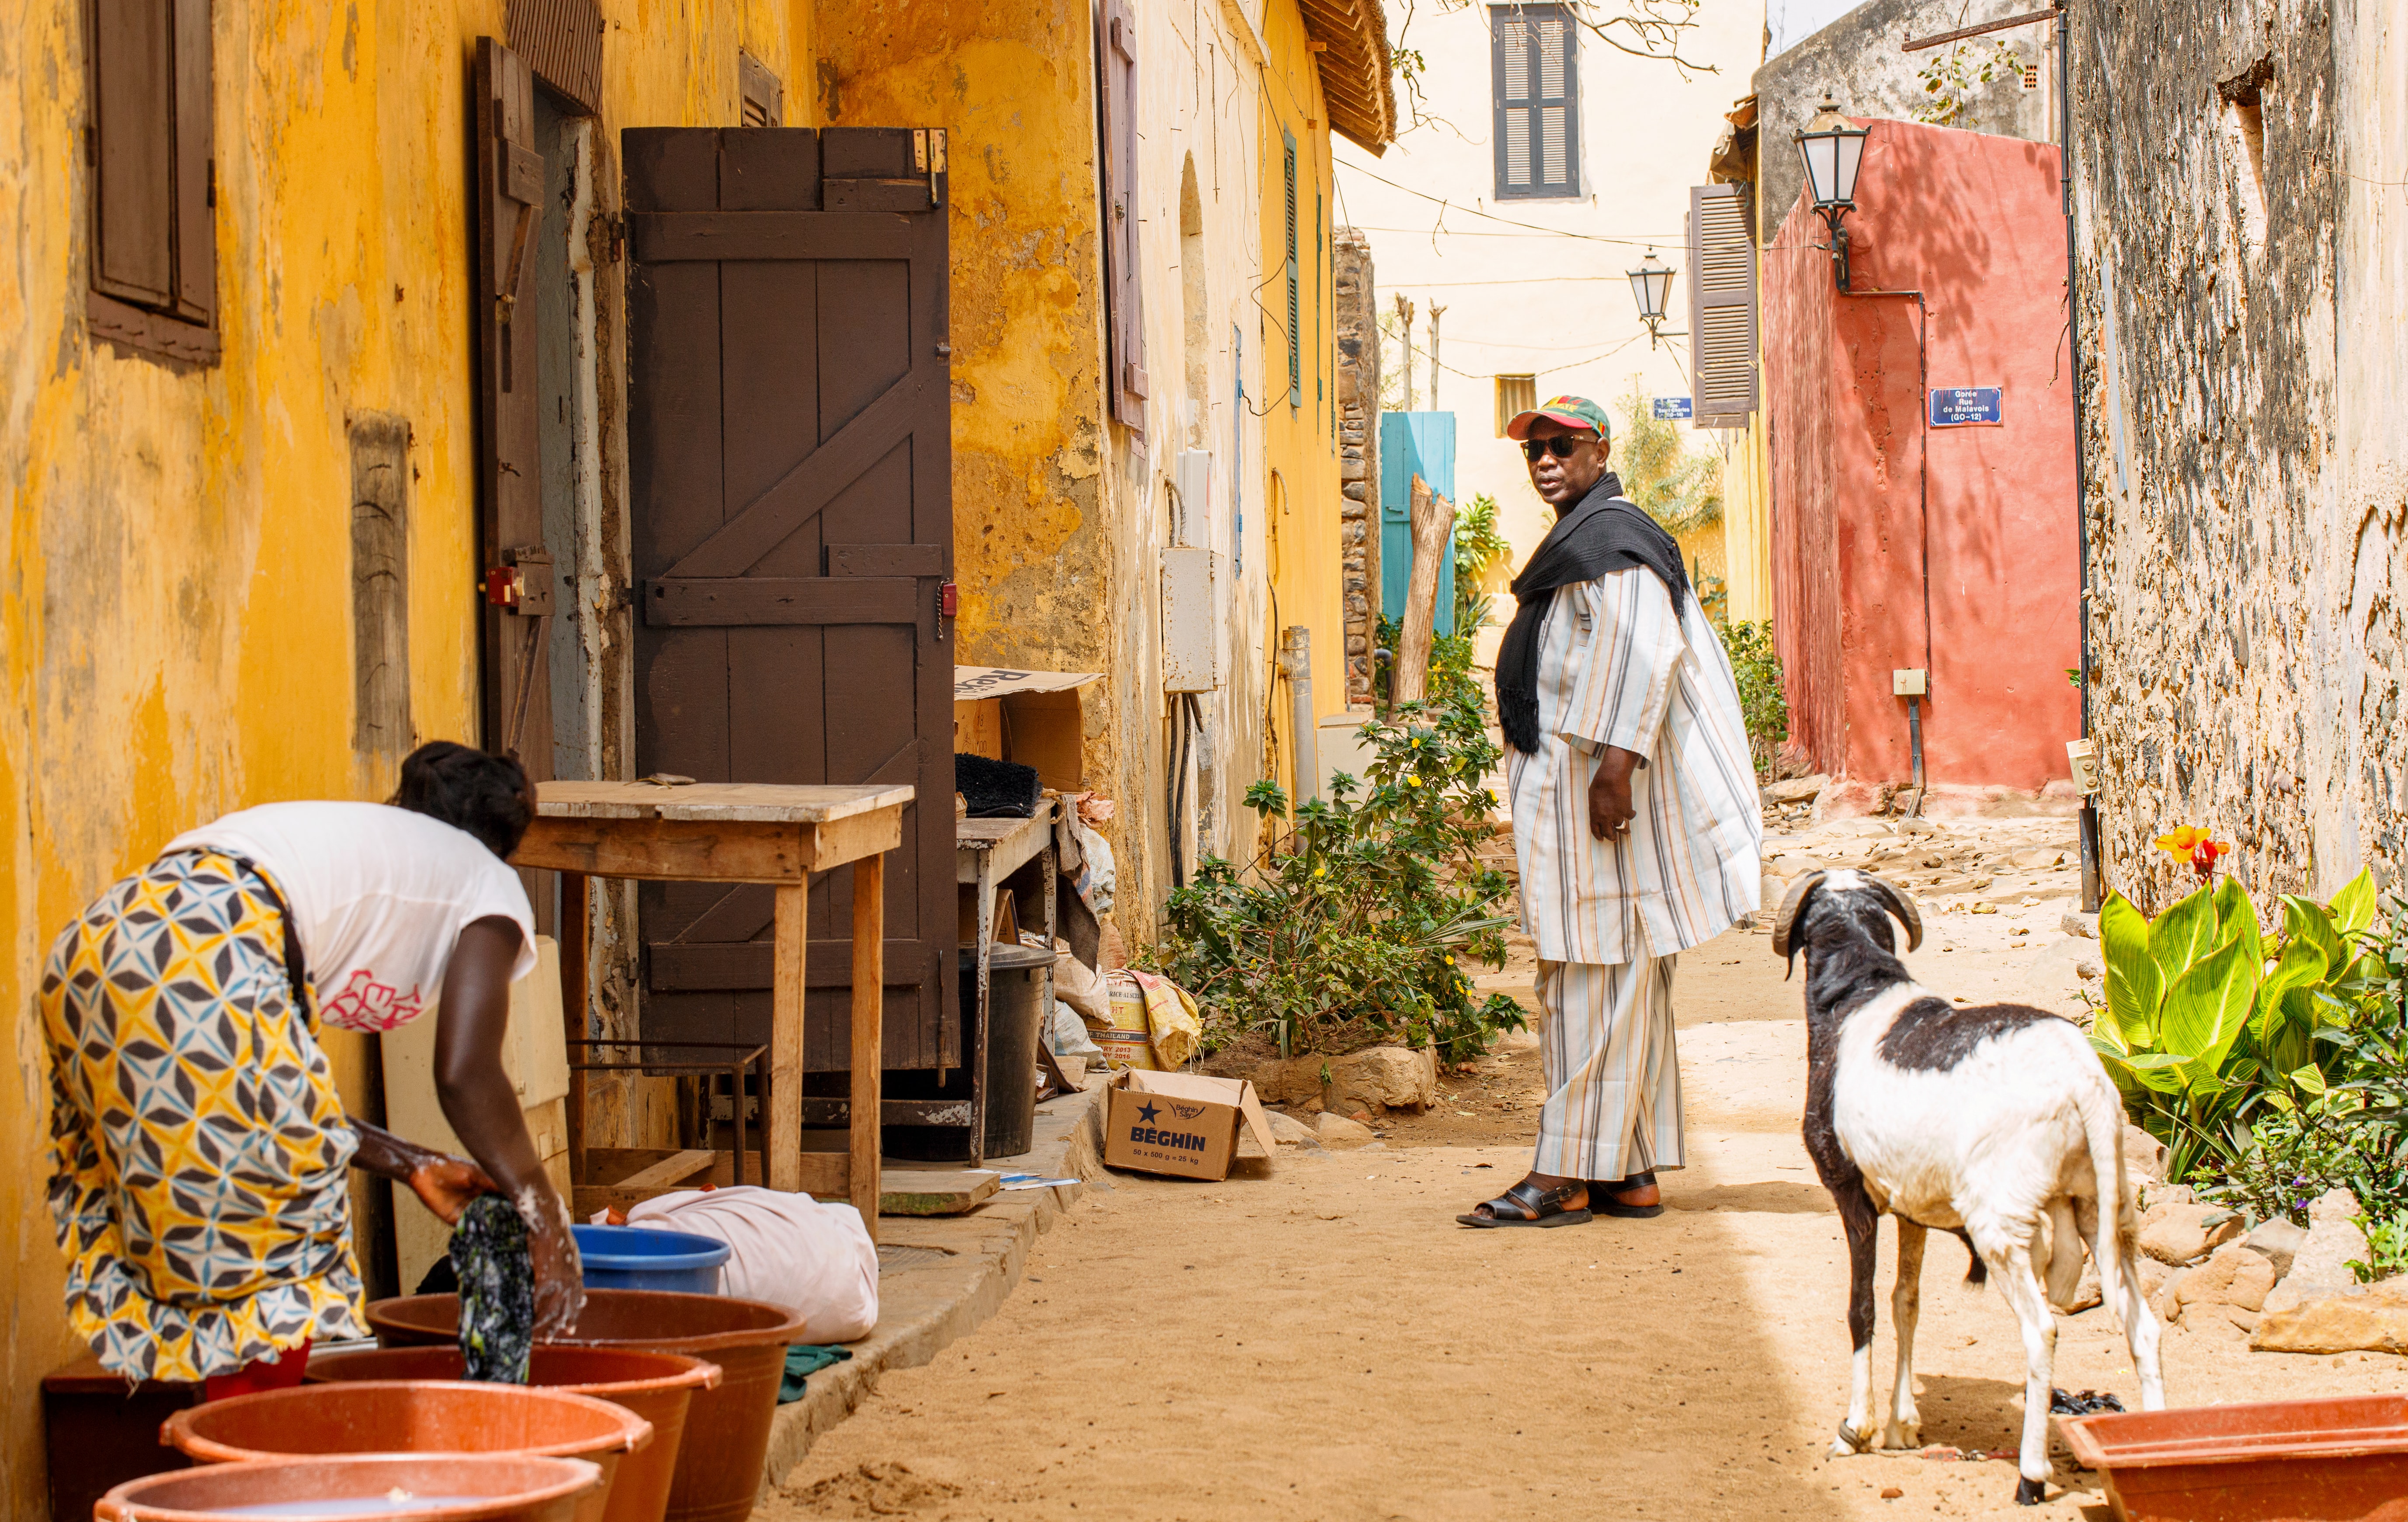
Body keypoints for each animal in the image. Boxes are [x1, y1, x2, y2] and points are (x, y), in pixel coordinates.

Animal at [1772, 867, 2167, 1512]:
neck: (1860, 989)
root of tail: (2082, 1079)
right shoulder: (1911, 1206)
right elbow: (1905, 1302)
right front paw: (1903, 1425)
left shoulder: (1852, 1194)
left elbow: (1862, 1307)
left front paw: (1856, 1429)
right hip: (2106, 1212)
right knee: (2142, 1327)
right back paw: (2146, 1448)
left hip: (2000, 1225)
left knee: (2042, 1330)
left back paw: (2031, 1477)